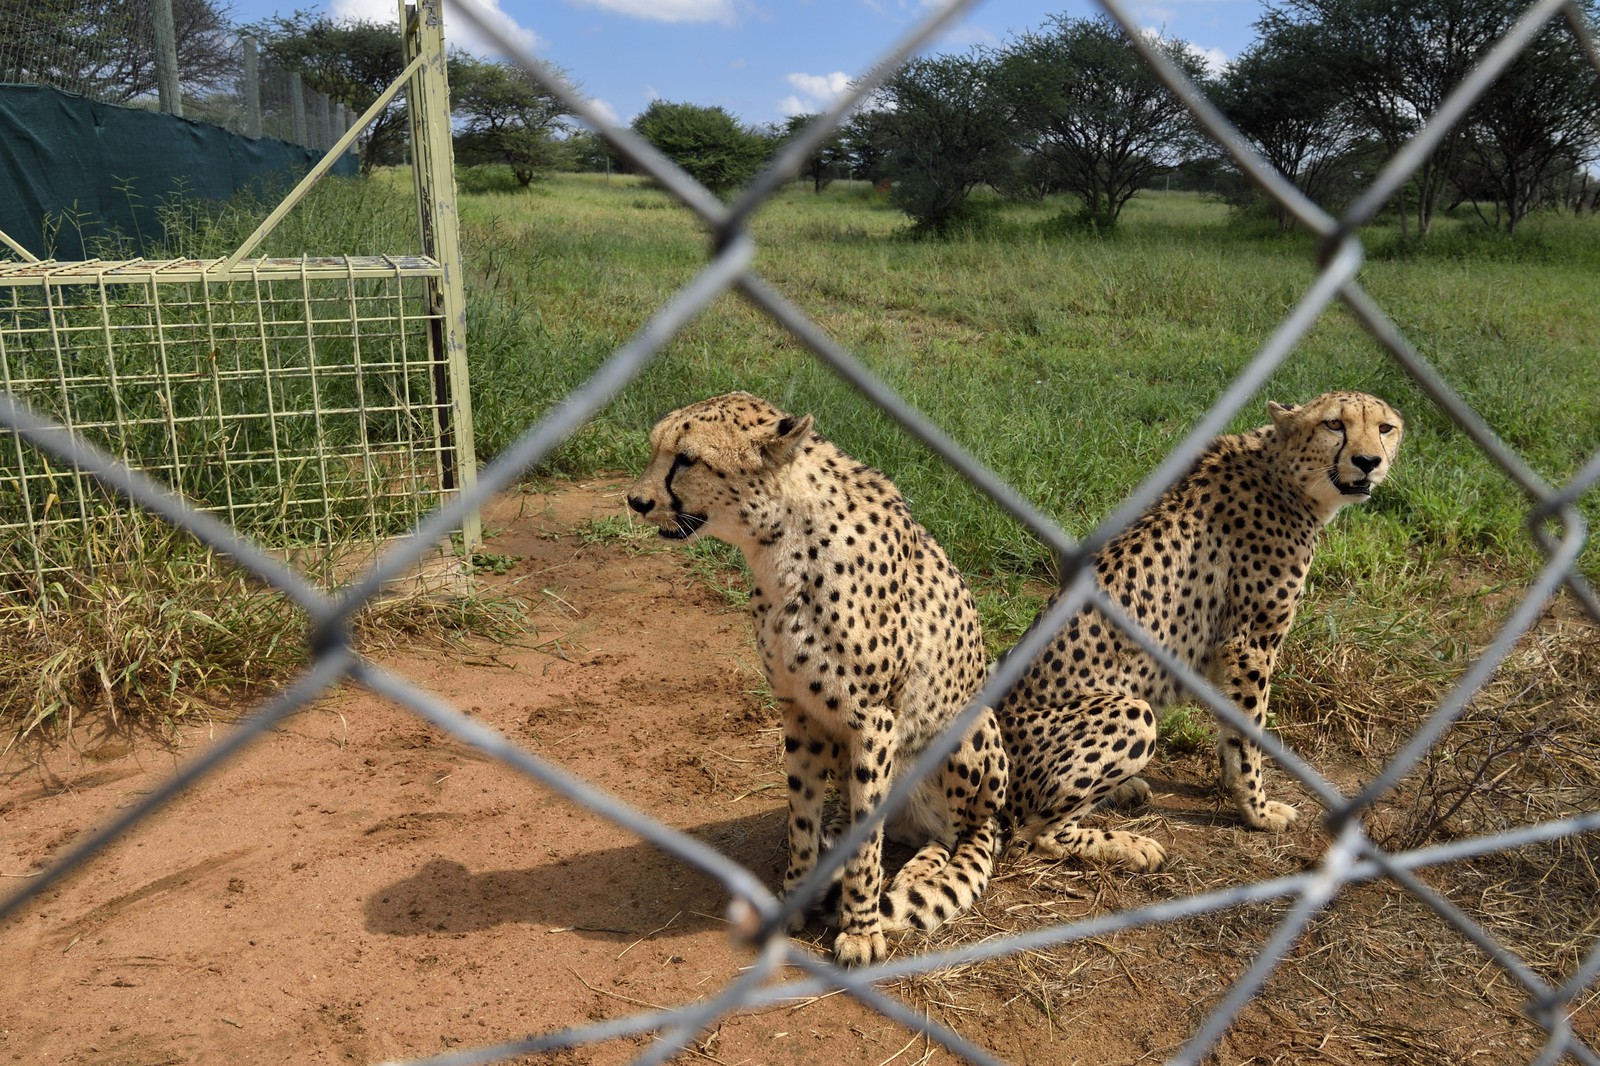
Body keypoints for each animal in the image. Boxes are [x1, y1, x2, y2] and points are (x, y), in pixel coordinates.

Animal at [626, 392, 1007, 967]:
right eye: (656, 448)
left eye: (687, 459)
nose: (636, 500)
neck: (780, 546)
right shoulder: (799, 709)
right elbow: (800, 818)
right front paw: (795, 898)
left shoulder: (874, 719)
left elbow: (868, 842)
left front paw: (861, 928)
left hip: (970, 729)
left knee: (956, 834)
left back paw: (918, 871)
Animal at [995, 391, 1404, 870]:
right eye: (1334, 424)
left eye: (1385, 428)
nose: (1368, 461)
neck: (1283, 471)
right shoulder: (1248, 644)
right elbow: (1249, 732)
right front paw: (1257, 811)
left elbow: (1232, 726)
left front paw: (1234, 788)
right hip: (1131, 712)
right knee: (1035, 832)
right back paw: (1128, 845)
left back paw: (1125, 790)